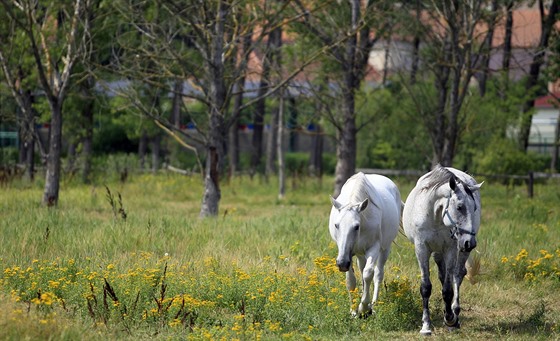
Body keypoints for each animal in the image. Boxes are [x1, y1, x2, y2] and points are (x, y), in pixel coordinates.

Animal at [328, 171, 402, 314]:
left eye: (356, 226)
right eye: (336, 225)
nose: (341, 264)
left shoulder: (373, 248)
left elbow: (368, 274)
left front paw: (364, 308)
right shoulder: (348, 253)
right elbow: (351, 280)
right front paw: (353, 310)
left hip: (385, 248)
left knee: (378, 274)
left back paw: (374, 303)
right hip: (359, 253)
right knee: (362, 270)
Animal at [402, 165, 482, 334]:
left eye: (474, 208)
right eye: (459, 207)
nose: (470, 243)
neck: (435, 216)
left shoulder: (451, 249)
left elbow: (448, 289)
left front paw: (450, 318)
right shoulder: (422, 249)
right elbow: (426, 287)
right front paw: (426, 325)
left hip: (459, 251)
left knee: (457, 275)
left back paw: (455, 314)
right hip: (439, 252)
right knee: (443, 274)